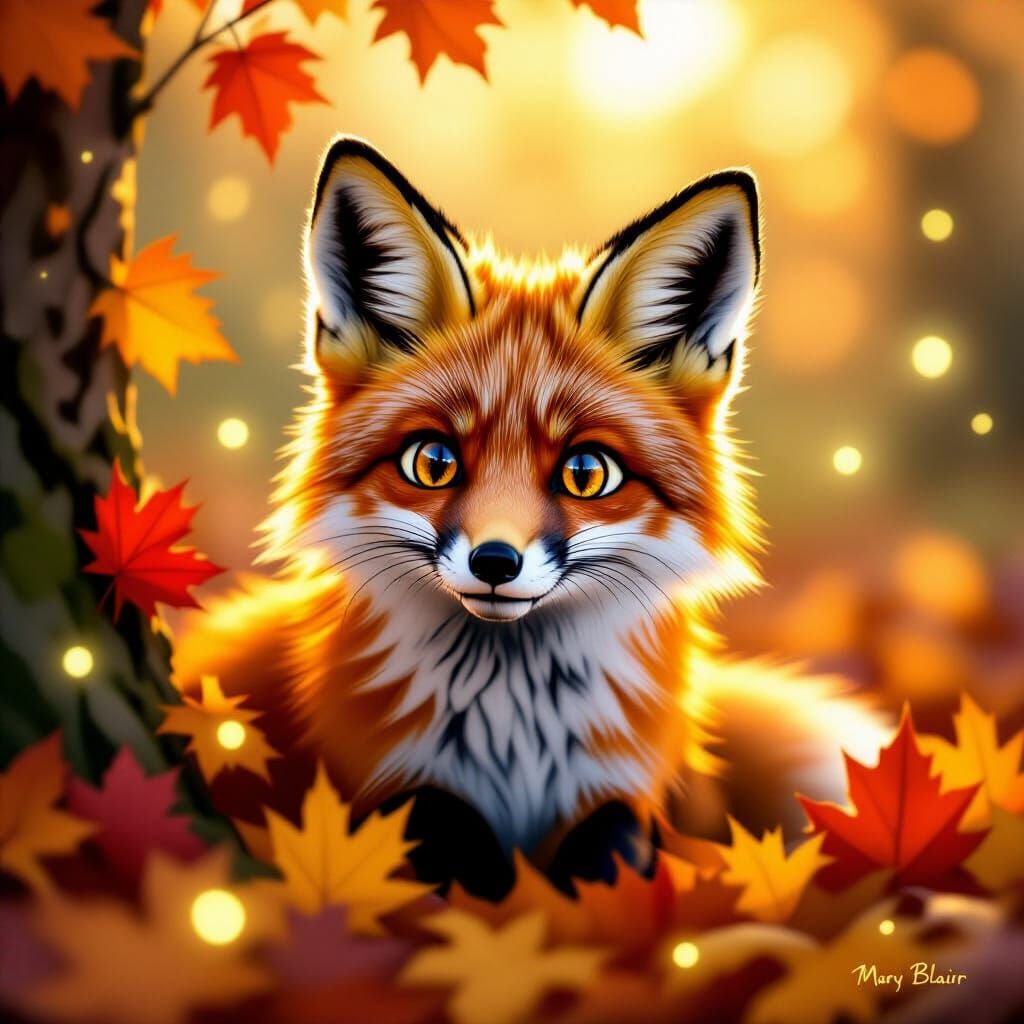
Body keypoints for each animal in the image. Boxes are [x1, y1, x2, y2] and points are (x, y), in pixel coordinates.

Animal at [173, 136, 887, 894]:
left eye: (586, 473)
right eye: (433, 461)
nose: (494, 561)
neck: (514, 734)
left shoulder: (622, 791)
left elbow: (612, 848)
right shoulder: (387, 788)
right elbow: (455, 841)